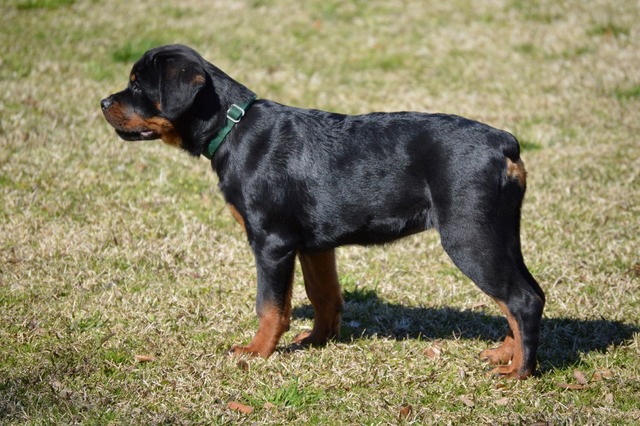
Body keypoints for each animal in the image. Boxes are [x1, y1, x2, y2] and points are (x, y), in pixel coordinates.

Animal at [101, 45, 544, 380]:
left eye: (138, 84)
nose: (103, 102)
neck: (233, 128)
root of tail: (503, 143)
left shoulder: (272, 243)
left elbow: (270, 306)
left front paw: (256, 351)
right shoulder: (314, 245)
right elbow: (324, 295)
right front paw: (318, 341)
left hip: (468, 235)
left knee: (520, 299)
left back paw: (518, 372)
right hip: (500, 232)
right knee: (526, 294)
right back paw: (506, 353)